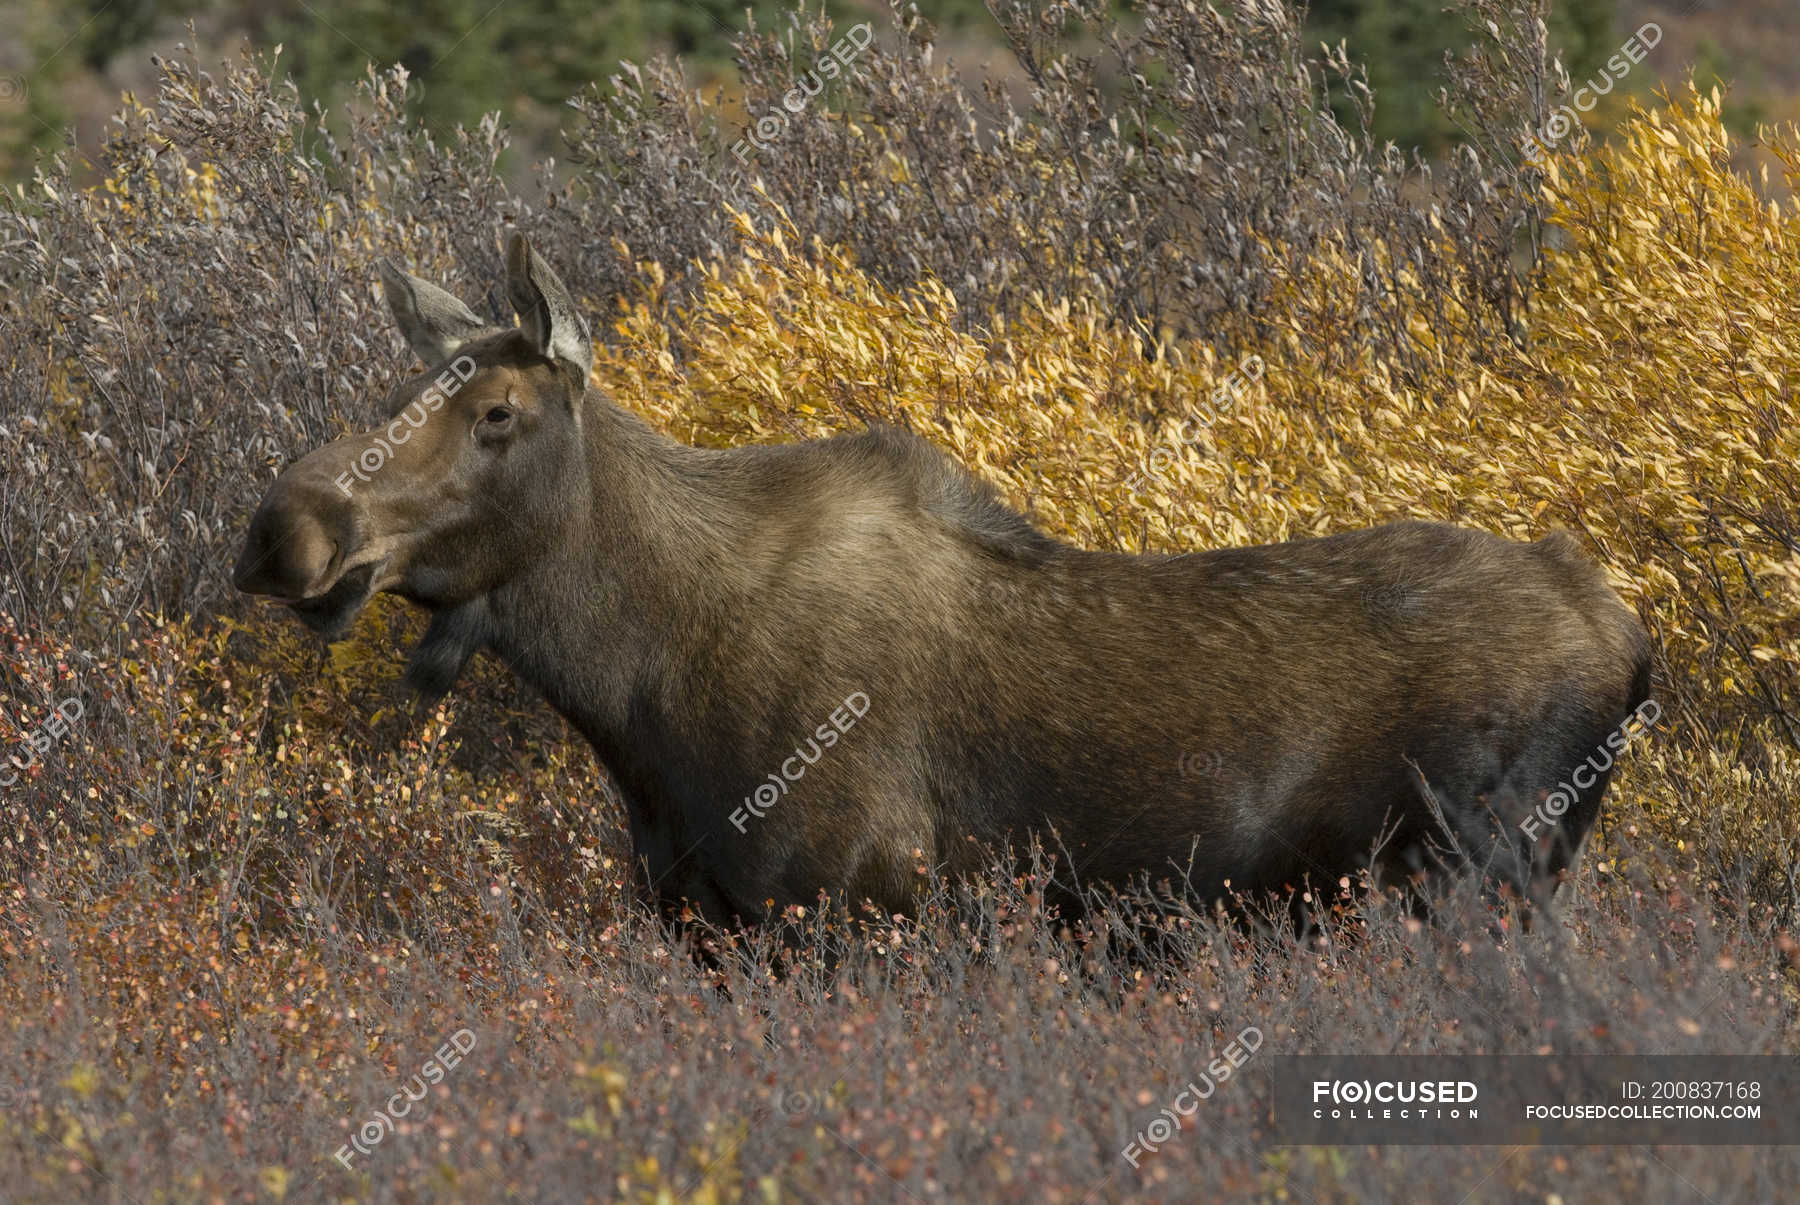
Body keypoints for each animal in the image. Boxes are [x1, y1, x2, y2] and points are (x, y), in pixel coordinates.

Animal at [233, 231, 1653, 929]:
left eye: (496, 412)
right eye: (403, 385)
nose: (284, 526)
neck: (635, 696)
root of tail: (1633, 642)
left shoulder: (850, 904)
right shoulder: (704, 922)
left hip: (1481, 874)